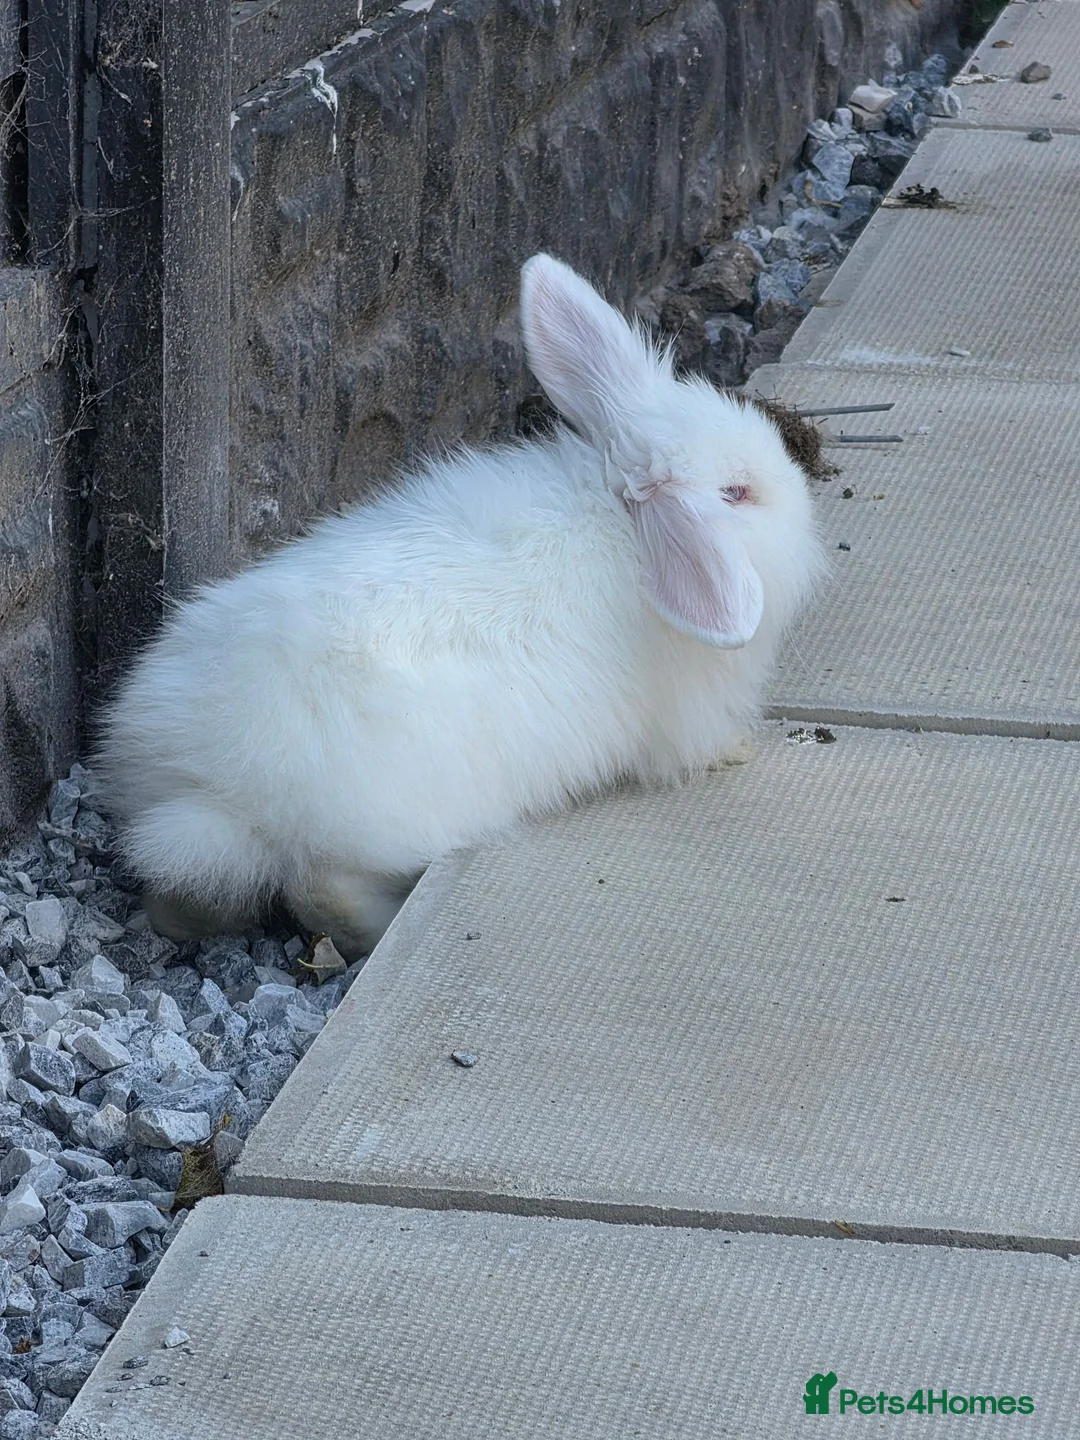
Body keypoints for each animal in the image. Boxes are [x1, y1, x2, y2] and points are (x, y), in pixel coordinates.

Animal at [96, 253, 824, 960]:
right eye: (737, 493)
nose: (798, 489)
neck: (625, 523)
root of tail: (222, 791)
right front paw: (738, 751)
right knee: (321, 890)